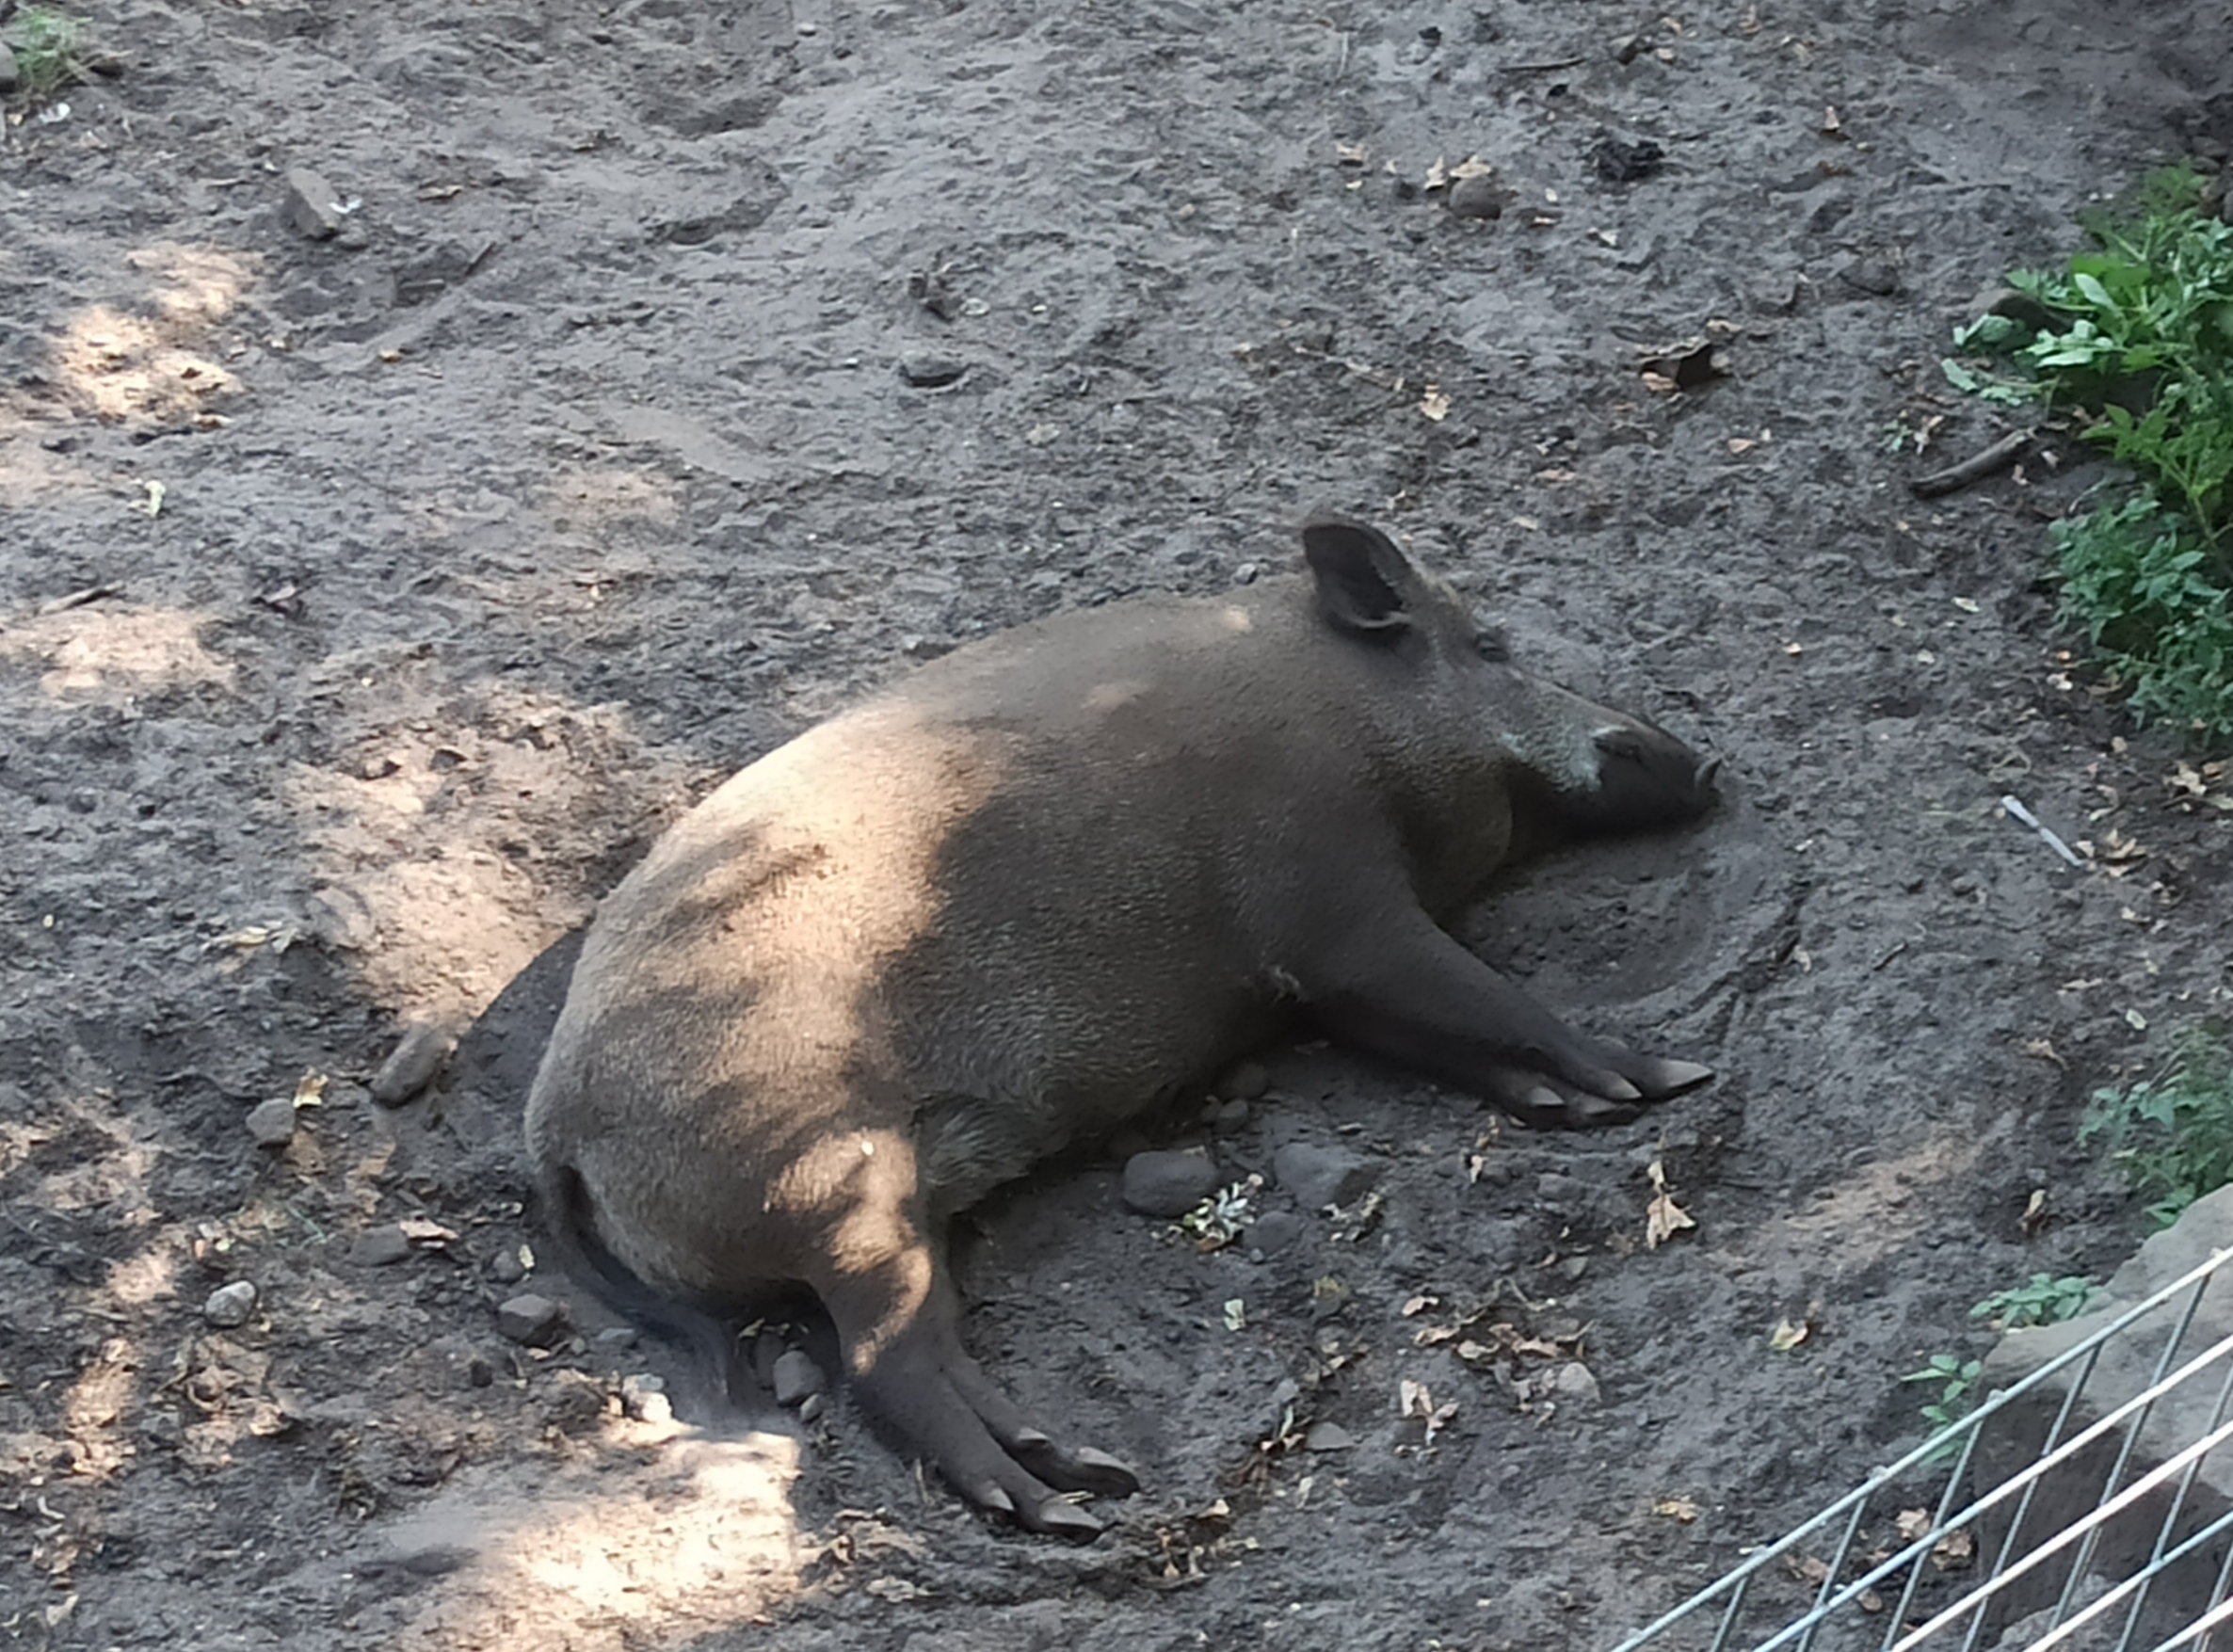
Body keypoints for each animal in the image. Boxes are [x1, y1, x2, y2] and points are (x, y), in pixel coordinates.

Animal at [525, 513, 1716, 1537]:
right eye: (1490, 644)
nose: (1704, 762)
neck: (1336, 707)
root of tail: (553, 1127)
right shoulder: (1331, 906)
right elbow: (1483, 995)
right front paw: (1664, 1078)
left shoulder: (1317, 987)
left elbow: (1435, 1033)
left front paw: (1578, 1099)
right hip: (836, 1191)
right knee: (884, 1367)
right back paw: (1061, 1512)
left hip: (892, 1208)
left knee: (927, 1348)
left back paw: (1090, 1476)